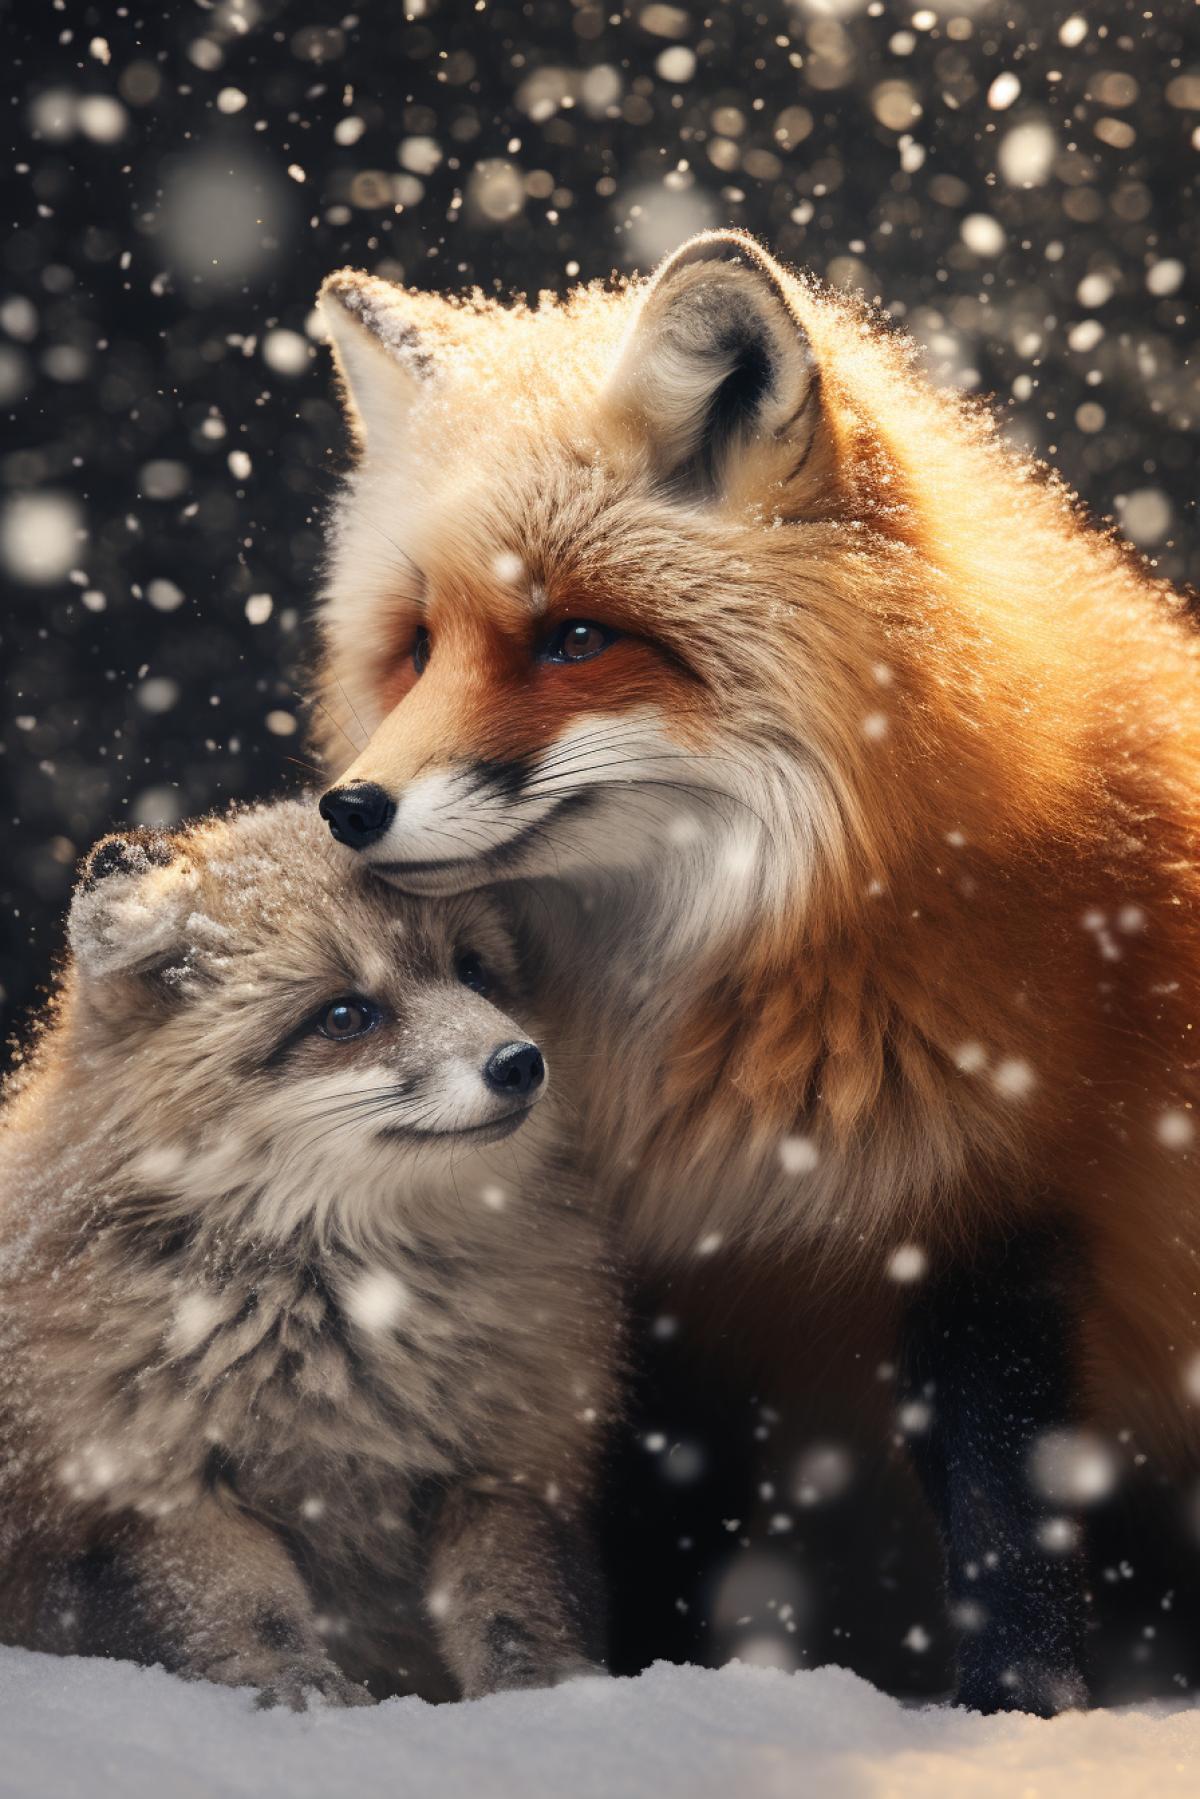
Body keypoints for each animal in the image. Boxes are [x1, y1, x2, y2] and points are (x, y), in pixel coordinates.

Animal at [0, 798, 619, 1707]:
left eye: (473, 974)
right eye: (345, 1016)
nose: (519, 1062)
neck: (333, 1335)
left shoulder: (502, 1473)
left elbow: (511, 1604)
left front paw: (542, 1694)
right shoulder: (145, 1490)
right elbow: (248, 1611)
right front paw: (301, 1697)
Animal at [309, 229, 1200, 1715]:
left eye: (575, 639)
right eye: (420, 645)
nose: (350, 810)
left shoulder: (1008, 1208)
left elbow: (1011, 1517)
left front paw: (1021, 1714)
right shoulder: (665, 1283)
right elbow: (660, 1536)